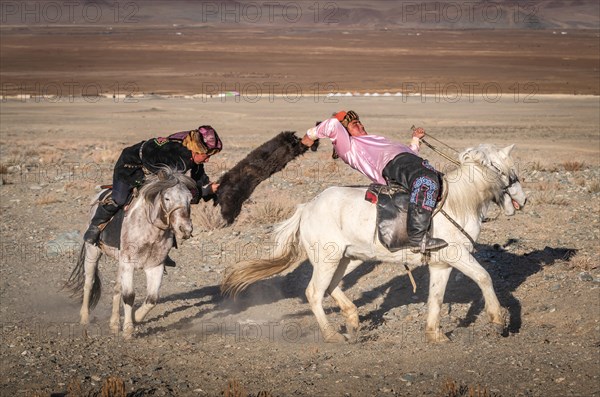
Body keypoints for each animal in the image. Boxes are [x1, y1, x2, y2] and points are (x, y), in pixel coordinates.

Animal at [65, 167, 197, 338]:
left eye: (190, 199)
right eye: (167, 198)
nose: (185, 229)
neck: (150, 230)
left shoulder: (155, 266)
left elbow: (152, 298)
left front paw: (135, 317)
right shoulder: (128, 264)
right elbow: (129, 296)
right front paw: (128, 329)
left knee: (116, 288)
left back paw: (114, 323)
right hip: (92, 251)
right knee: (89, 282)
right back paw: (85, 318)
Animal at [223, 144, 528, 342]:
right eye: (509, 171)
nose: (523, 200)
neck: (458, 201)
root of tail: (306, 208)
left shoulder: (441, 265)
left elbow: (437, 298)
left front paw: (435, 335)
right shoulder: (457, 254)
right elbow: (484, 277)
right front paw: (499, 321)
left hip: (348, 258)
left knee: (332, 287)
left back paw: (353, 319)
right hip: (327, 258)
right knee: (314, 293)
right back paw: (332, 335)